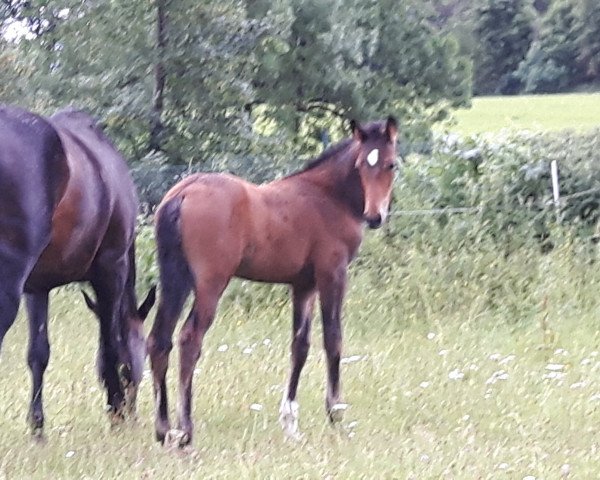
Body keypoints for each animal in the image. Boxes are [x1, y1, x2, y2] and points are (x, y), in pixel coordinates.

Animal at [0, 107, 155, 436]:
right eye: (143, 353)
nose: (132, 413)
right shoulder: (111, 269)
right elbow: (111, 346)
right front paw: (115, 411)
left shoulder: (37, 287)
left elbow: (38, 354)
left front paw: (37, 427)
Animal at [146, 116, 398, 446]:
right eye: (360, 164)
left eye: (391, 164)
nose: (374, 217)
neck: (329, 196)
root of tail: (183, 193)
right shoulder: (332, 273)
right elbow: (333, 339)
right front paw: (336, 414)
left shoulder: (303, 285)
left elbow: (299, 345)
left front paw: (290, 423)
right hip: (210, 282)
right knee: (189, 340)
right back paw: (186, 431)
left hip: (174, 277)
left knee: (158, 340)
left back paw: (163, 429)